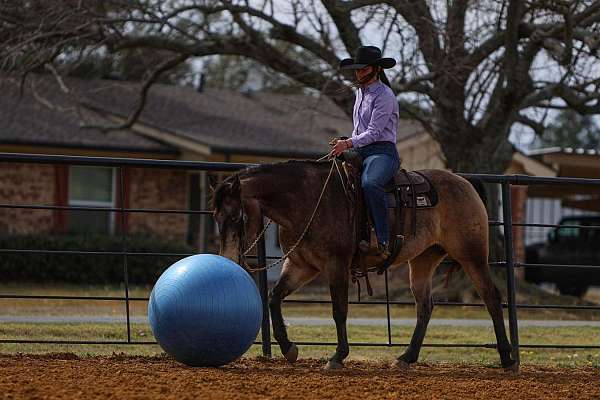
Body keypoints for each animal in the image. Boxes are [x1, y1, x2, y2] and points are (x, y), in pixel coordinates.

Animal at [210, 159, 516, 372]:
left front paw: (337, 356)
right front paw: (288, 348)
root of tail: (464, 182)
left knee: (491, 297)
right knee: (425, 307)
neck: (308, 200)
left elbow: (339, 310)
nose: (228, 258)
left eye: (237, 216)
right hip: (423, 259)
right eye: (215, 217)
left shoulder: (336, 265)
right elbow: (274, 298)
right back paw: (406, 358)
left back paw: (507, 358)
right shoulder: (301, 265)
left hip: (472, 255)